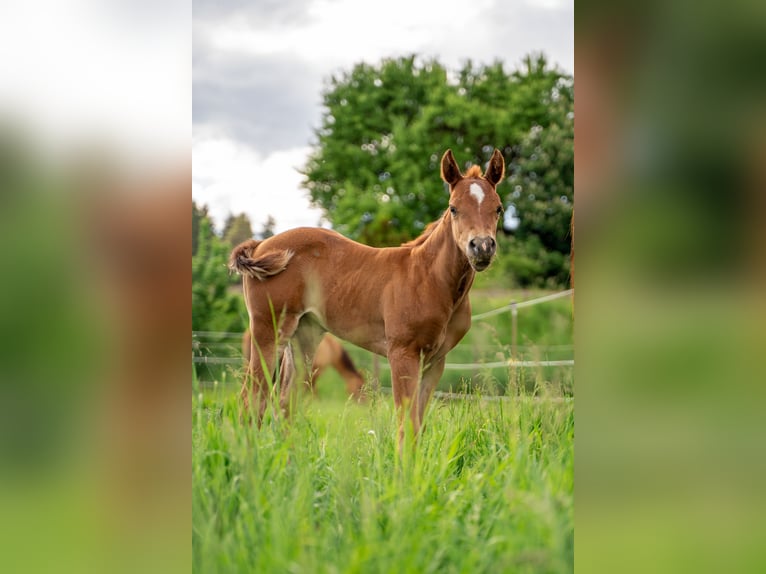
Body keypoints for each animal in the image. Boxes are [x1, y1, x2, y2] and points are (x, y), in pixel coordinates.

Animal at [229, 148, 505, 447]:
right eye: (453, 208)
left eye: (499, 208)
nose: (482, 247)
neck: (429, 279)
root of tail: (260, 245)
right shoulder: (402, 354)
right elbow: (406, 424)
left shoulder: (435, 361)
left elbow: (418, 426)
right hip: (268, 331)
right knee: (251, 399)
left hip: (304, 336)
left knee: (284, 403)